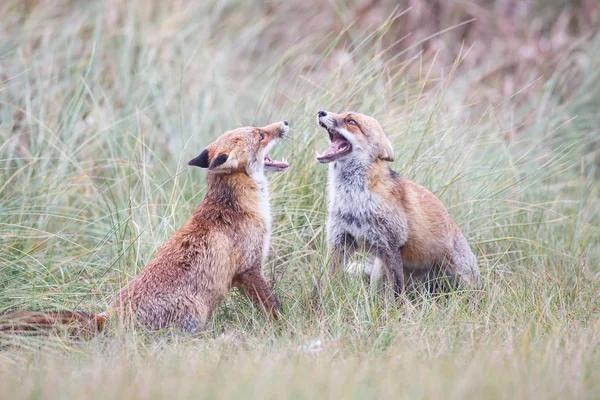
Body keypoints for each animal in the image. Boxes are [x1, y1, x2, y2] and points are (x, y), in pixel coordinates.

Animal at [0, 120, 290, 336]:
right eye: (261, 134)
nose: (285, 122)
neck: (240, 205)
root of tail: (109, 317)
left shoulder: (243, 273)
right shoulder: (249, 268)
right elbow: (273, 306)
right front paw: (286, 330)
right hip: (193, 314)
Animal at [314, 111, 478, 296]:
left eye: (351, 121)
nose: (321, 112)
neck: (354, 201)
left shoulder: (391, 246)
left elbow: (396, 292)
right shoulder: (340, 241)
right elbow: (328, 281)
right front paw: (324, 299)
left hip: (461, 278)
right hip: (379, 270)